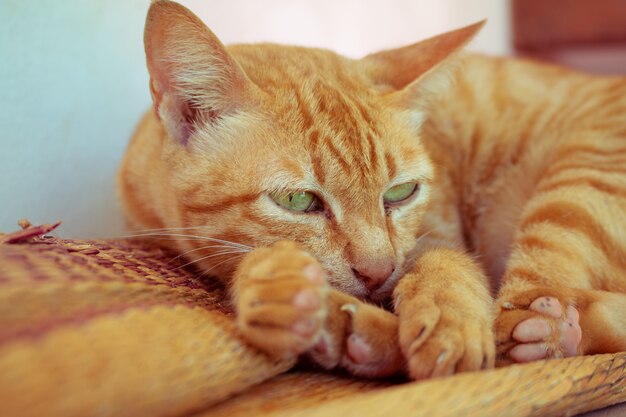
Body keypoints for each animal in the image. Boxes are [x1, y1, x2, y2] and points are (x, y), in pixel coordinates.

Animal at [117, 0, 624, 378]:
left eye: (400, 193)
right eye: (298, 200)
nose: (377, 273)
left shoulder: (437, 236)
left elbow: (446, 265)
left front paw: (449, 320)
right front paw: (282, 293)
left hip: (579, 182)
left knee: (519, 325)